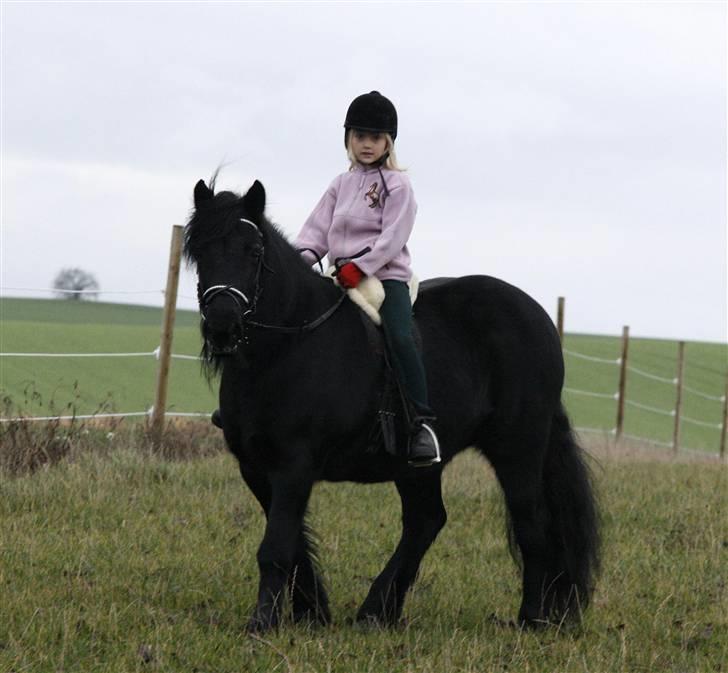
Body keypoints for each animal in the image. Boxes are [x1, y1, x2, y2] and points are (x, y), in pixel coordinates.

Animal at [183, 177, 600, 632]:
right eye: (200, 252)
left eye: (254, 252)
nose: (223, 326)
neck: (286, 348)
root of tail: (539, 317)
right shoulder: (255, 467)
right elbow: (292, 545)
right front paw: (312, 611)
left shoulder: (295, 464)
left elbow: (275, 547)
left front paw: (263, 622)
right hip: (419, 463)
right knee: (426, 521)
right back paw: (378, 611)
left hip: (517, 447)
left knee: (531, 520)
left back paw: (529, 618)